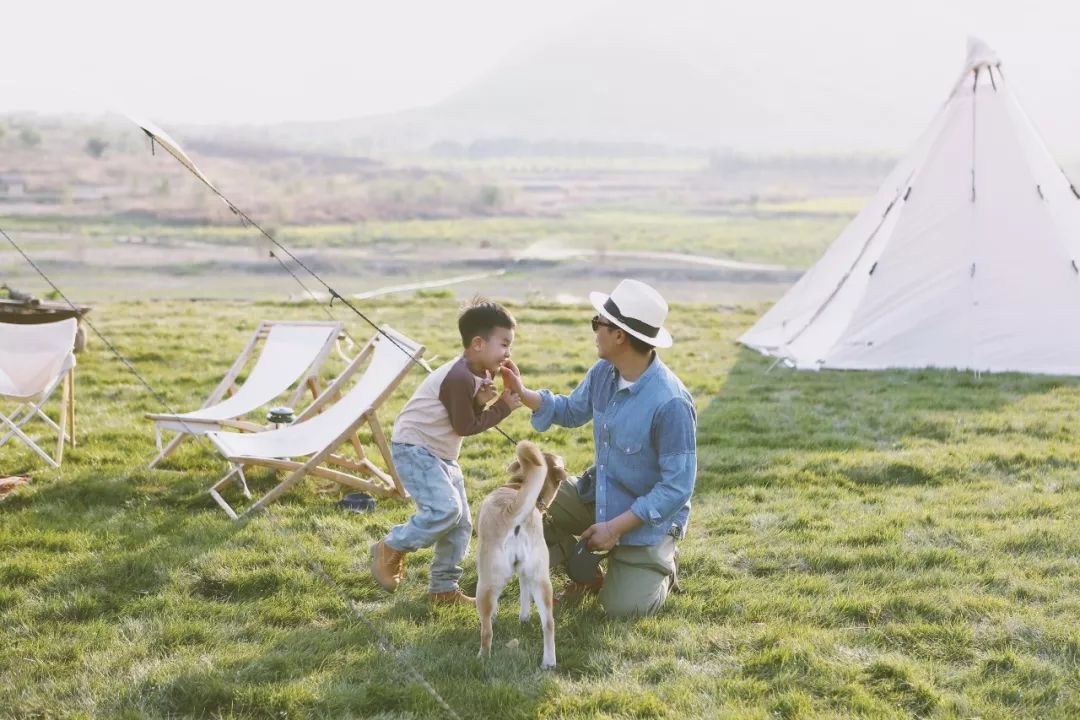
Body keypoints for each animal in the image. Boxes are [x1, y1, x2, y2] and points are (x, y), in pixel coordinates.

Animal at [477, 440, 570, 669]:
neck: (518, 487)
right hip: (542, 581)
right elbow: (524, 595)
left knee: (486, 631)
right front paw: (524, 617)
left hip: (485, 584)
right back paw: (549, 662)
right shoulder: (525, 574)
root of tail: (513, 514)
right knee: (549, 623)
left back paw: (482, 657)